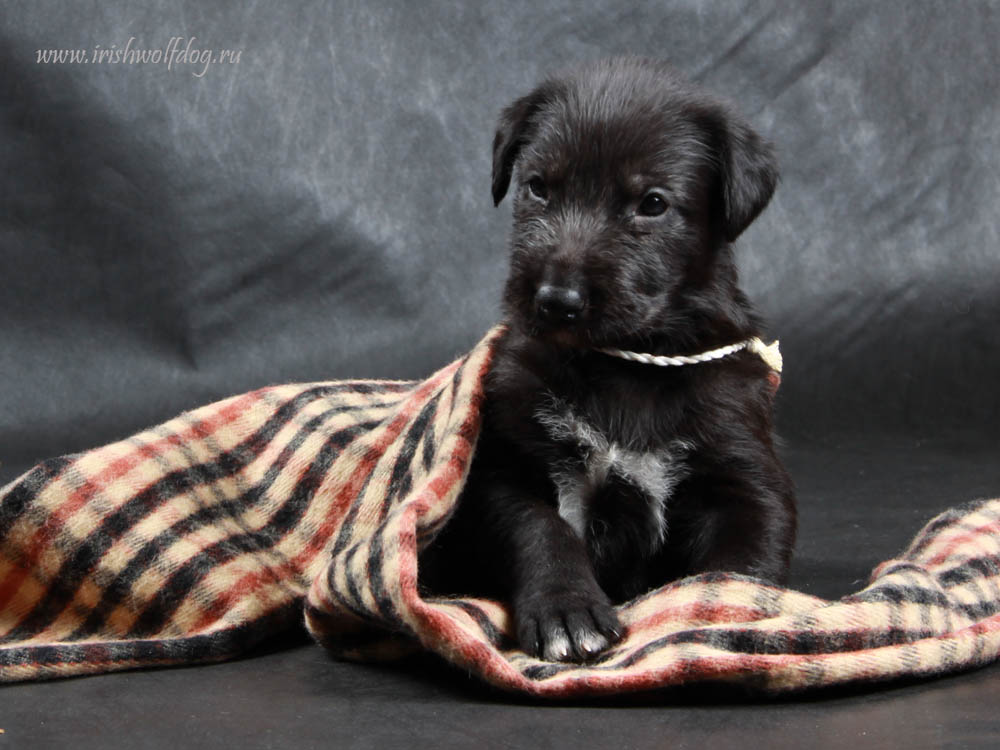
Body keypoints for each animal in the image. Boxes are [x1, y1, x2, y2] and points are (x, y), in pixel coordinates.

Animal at [422, 57, 796, 664]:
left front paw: (722, 619)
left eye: (653, 204)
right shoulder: (502, 467)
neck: (624, 365)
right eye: (537, 187)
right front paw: (566, 610)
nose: (557, 299)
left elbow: (739, 568)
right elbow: (539, 528)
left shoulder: (743, 472)